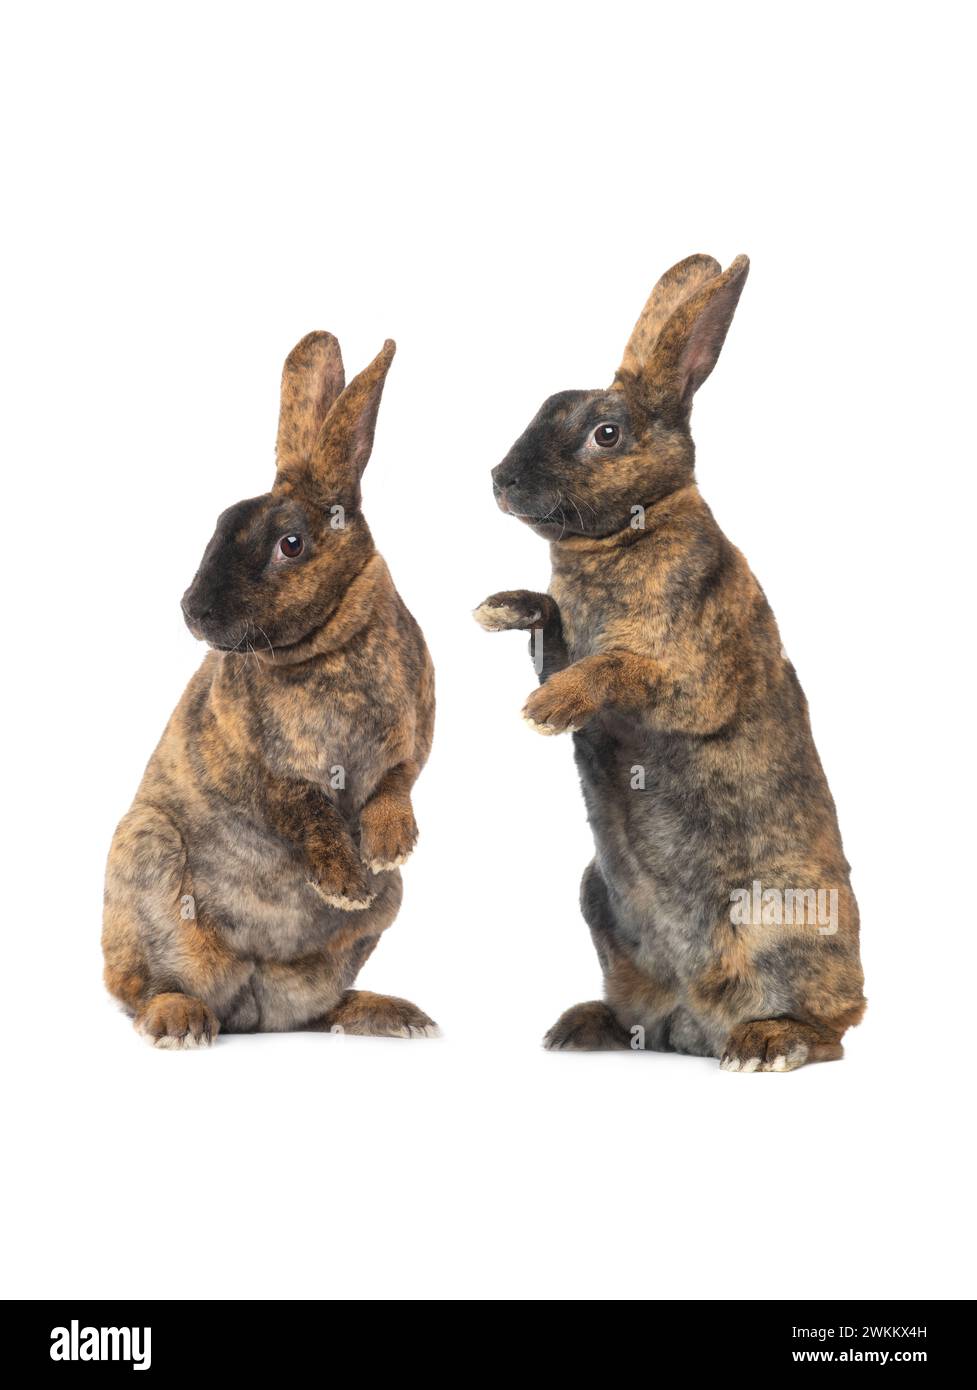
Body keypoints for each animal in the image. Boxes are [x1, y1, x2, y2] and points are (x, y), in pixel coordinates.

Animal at [103, 331, 437, 1047]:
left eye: (291, 543)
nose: (193, 611)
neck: (325, 644)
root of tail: (252, 1011)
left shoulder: (414, 740)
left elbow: (397, 782)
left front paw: (389, 847)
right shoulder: (260, 767)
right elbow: (304, 808)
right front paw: (344, 881)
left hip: (363, 935)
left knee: (315, 1009)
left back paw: (392, 1014)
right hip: (145, 855)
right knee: (145, 989)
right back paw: (179, 1022)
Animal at [475, 254, 865, 1071]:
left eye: (606, 434)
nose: (499, 479)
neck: (634, 525)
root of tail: (699, 1017)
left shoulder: (688, 675)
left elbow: (615, 669)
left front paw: (543, 712)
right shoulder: (565, 639)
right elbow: (550, 624)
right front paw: (498, 607)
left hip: (785, 922)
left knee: (834, 1030)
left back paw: (764, 1044)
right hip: (599, 902)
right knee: (641, 1017)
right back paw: (581, 1028)